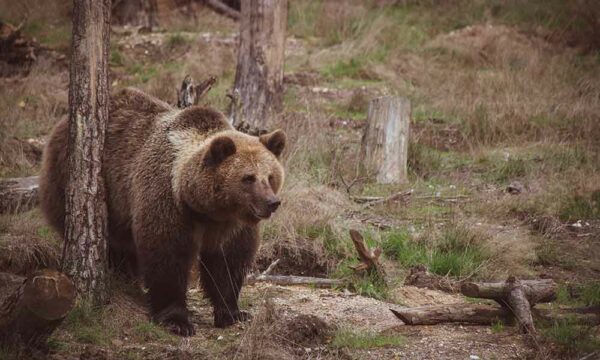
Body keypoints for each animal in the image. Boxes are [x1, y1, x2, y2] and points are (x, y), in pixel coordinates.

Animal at [39, 87, 286, 334]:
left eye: (270, 176)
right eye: (248, 178)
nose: (272, 202)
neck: (205, 208)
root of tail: (62, 123)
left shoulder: (231, 225)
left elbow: (228, 262)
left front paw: (233, 312)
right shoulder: (168, 201)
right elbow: (166, 254)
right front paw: (176, 320)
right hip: (78, 181)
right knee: (113, 242)